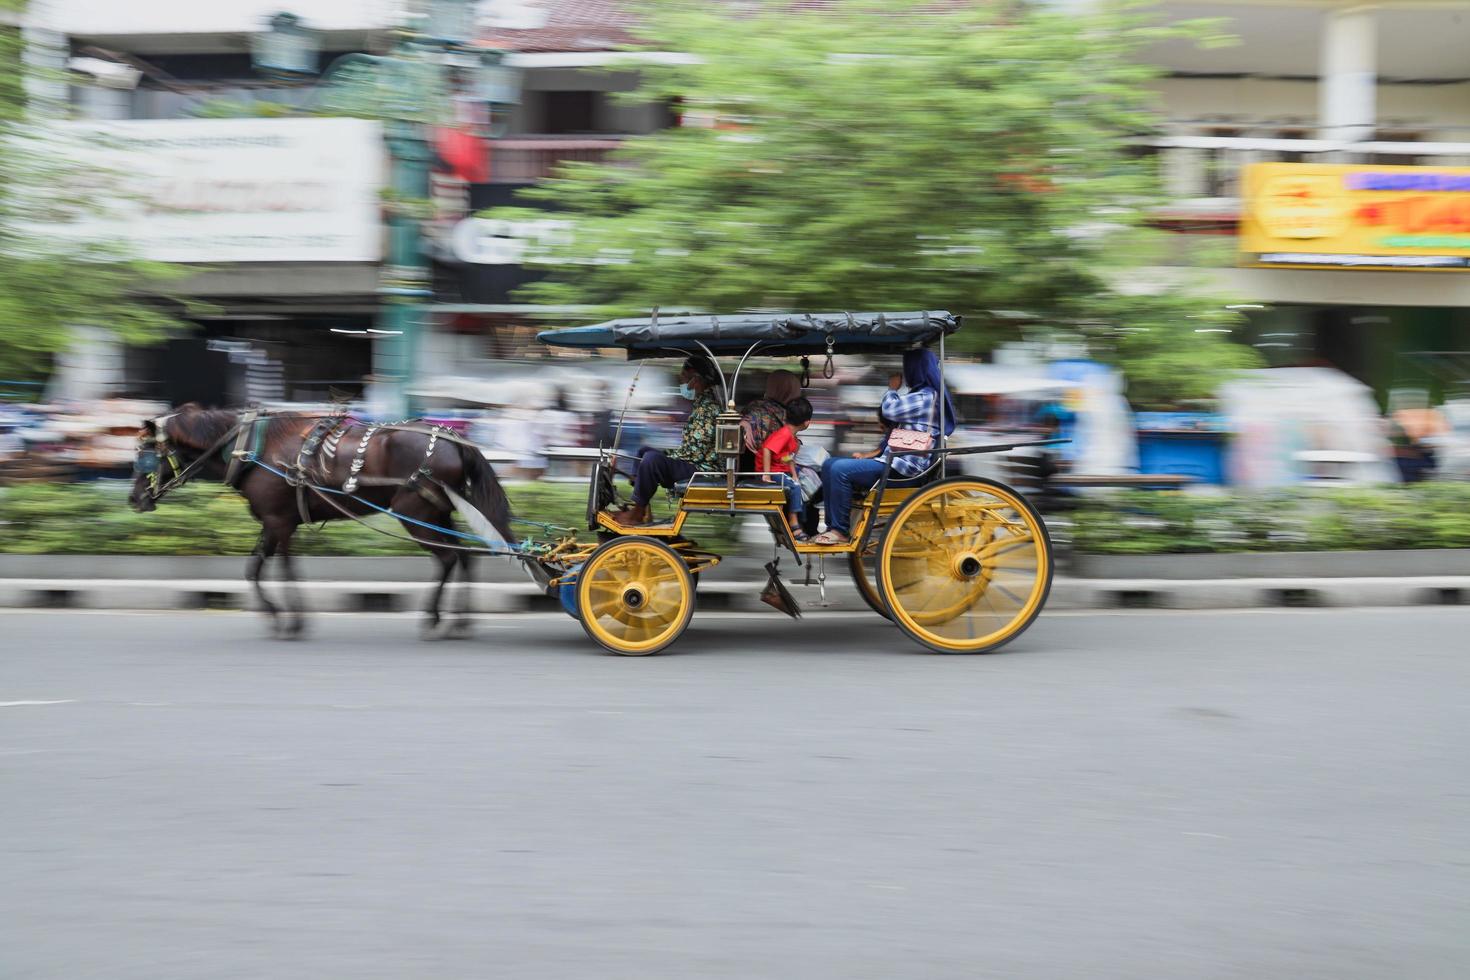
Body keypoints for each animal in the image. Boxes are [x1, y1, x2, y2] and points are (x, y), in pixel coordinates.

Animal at [126, 405, 520, 640]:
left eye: (145, 456)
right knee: (464, 557)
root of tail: (454, 439)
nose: (134, 499)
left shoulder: (279, 522)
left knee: (449, 558)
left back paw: (435, 619)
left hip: (415, 513)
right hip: (438, 512)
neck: (250, 449)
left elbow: (280, 570)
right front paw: (281, 616)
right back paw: (460, 621)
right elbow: (259, 568)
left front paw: (289, 619)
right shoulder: (276, 522)